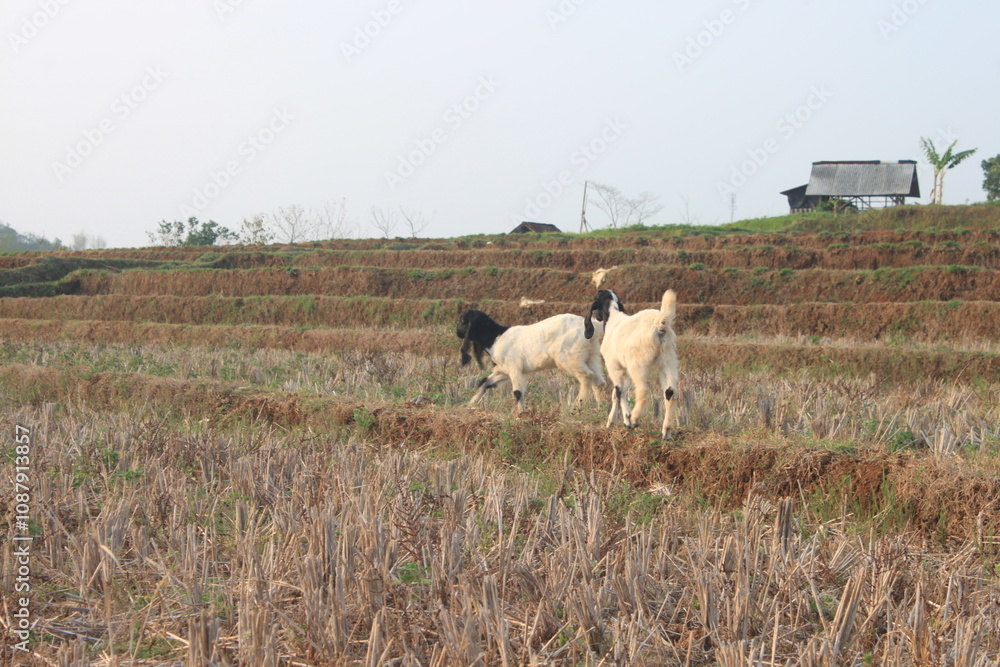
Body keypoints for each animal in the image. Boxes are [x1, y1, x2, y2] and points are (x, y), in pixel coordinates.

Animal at [457, 309, 604, 412]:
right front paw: (469, 405)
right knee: (598, 381)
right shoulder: (503, 371)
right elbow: (484, 382)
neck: (496, 337)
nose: (457, 333)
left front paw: (521, 414)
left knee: (586, 377)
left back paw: (576, 406)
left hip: (569, 358)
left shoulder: (514, 367)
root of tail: (591, 327)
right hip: (591, 356)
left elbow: (517, 392)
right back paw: (600, 408)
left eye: (463, 320)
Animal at [584, 289, 679, 438]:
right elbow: (618, 392)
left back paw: (635, 419)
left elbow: (619, 391)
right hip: (668, 360)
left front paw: (626, 419)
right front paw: (613, 420)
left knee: (643, 390)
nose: (598, 317)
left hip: (637, 364)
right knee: (670, 392)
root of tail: (659, 322)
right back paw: (666, 432)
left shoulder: (614, 366)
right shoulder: (624, 369)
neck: (613, 320)